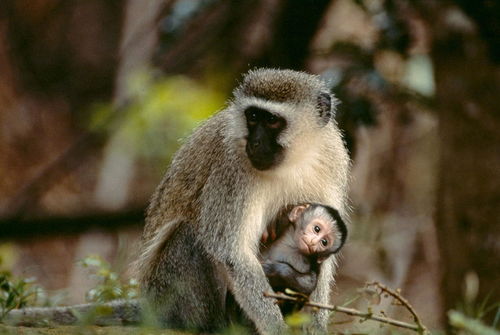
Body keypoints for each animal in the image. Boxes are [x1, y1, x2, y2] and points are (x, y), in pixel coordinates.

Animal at [135, 67, 350, 334]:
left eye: (272, 120)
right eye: (253, 116)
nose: (255, 143)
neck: (292, 160)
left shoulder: (331, 158)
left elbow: (324, 258)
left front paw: (316, 325)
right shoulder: (231, 168)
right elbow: (231, 252)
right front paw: (276, 327)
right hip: (164, 294)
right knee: (189, 236)